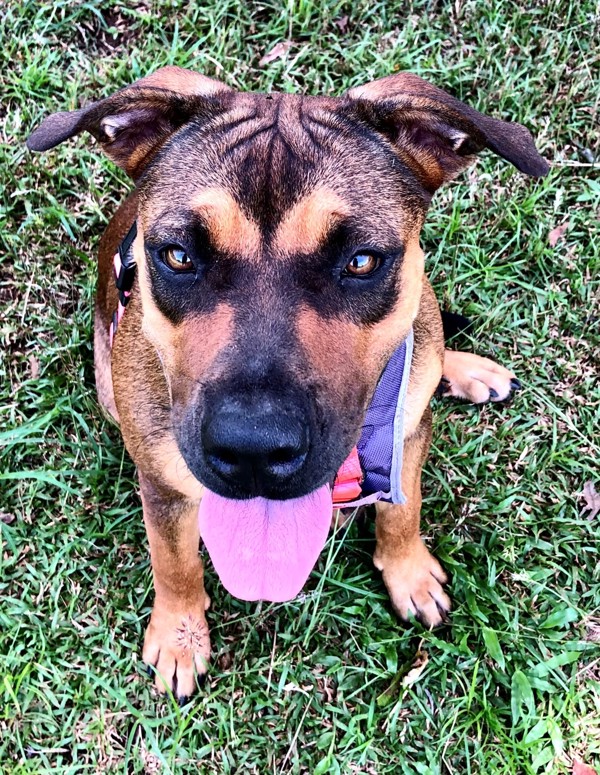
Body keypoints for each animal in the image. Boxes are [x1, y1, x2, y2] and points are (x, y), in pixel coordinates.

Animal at [27, 67, 548, 701]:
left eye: (361, 261)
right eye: (177, 256)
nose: (254, 452)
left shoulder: (406, 436)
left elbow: (404, 511)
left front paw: (409, 572)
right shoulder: (163, 485)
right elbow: (173, 564)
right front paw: (179, 637)